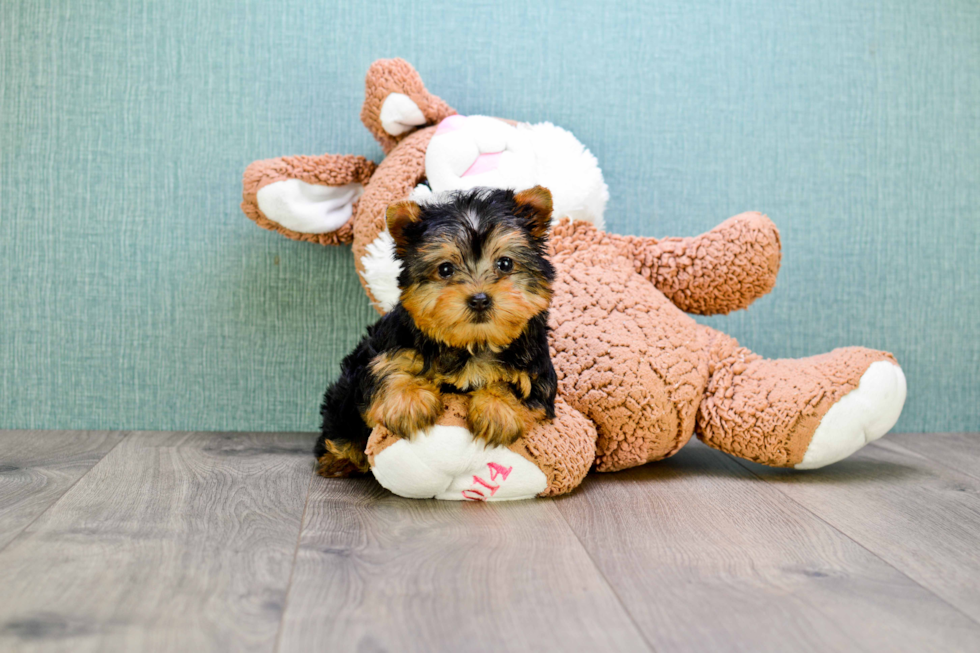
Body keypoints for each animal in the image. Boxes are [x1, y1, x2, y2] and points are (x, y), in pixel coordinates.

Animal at [316, 186, 560, 476]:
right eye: (445, 269)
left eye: (505, 264)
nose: (480, 299)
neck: (473, 343)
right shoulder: (383, 349)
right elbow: (387, 367)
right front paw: (409, 400)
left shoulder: (537, 371)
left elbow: (519, 385)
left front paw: (497, 408)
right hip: (344, 396)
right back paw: (340, 458)